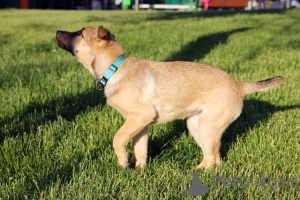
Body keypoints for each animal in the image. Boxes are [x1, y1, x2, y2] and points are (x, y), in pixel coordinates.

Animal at [55, 25, 284, 170]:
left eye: (79, 33)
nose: (56, 32)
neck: (115, 68)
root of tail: (239, 84)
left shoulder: (140, 116)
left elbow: (117, 139)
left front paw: (123, 163)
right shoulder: (140, 124)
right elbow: (141, 150)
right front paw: (139, 171)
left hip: (208, 126)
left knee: (213, 158)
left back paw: (200, 174)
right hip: (196, 125)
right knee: (213, 156)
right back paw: (196, 169)